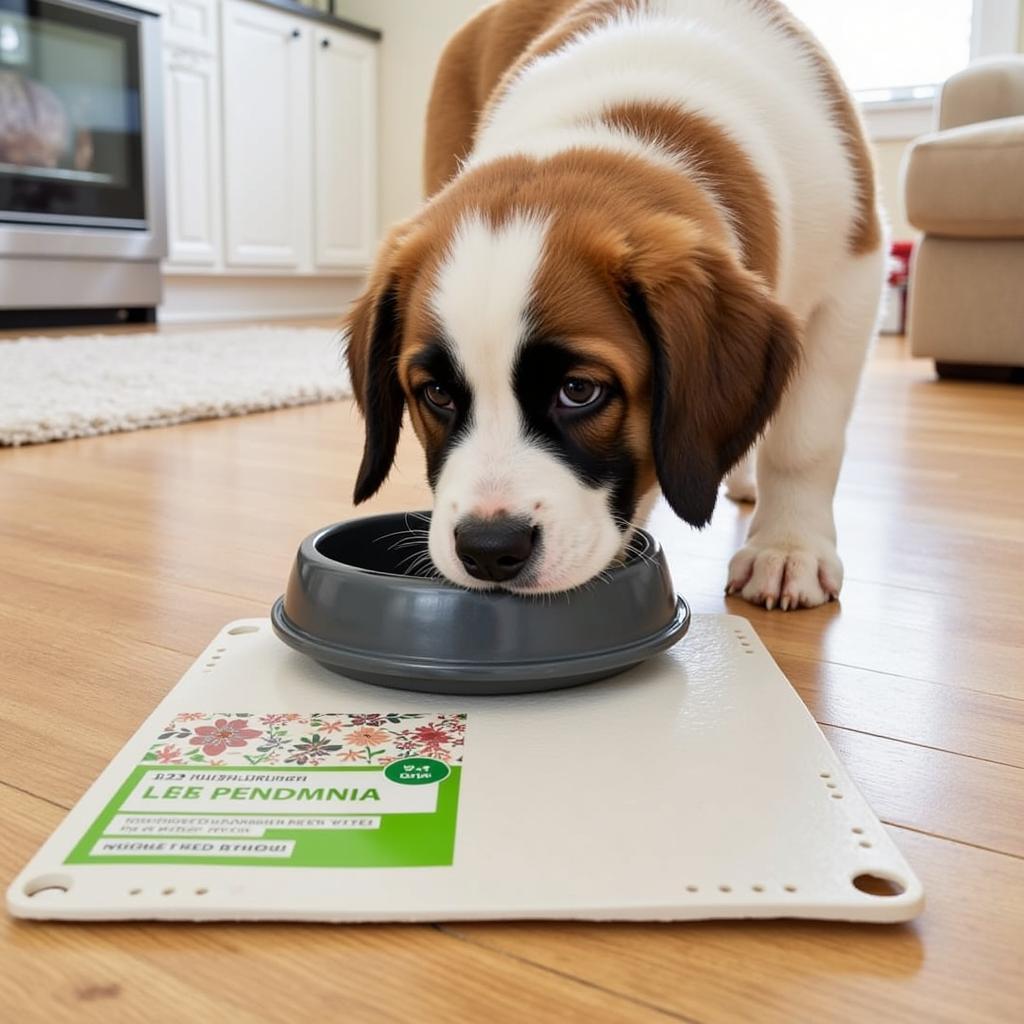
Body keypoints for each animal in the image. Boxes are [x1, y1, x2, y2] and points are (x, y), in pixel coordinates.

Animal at [342, 0, 880, 606]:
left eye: (579, 390)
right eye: (435, 394)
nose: (488, 548)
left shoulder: (852, 278)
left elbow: (807, 442)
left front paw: (788, 547)